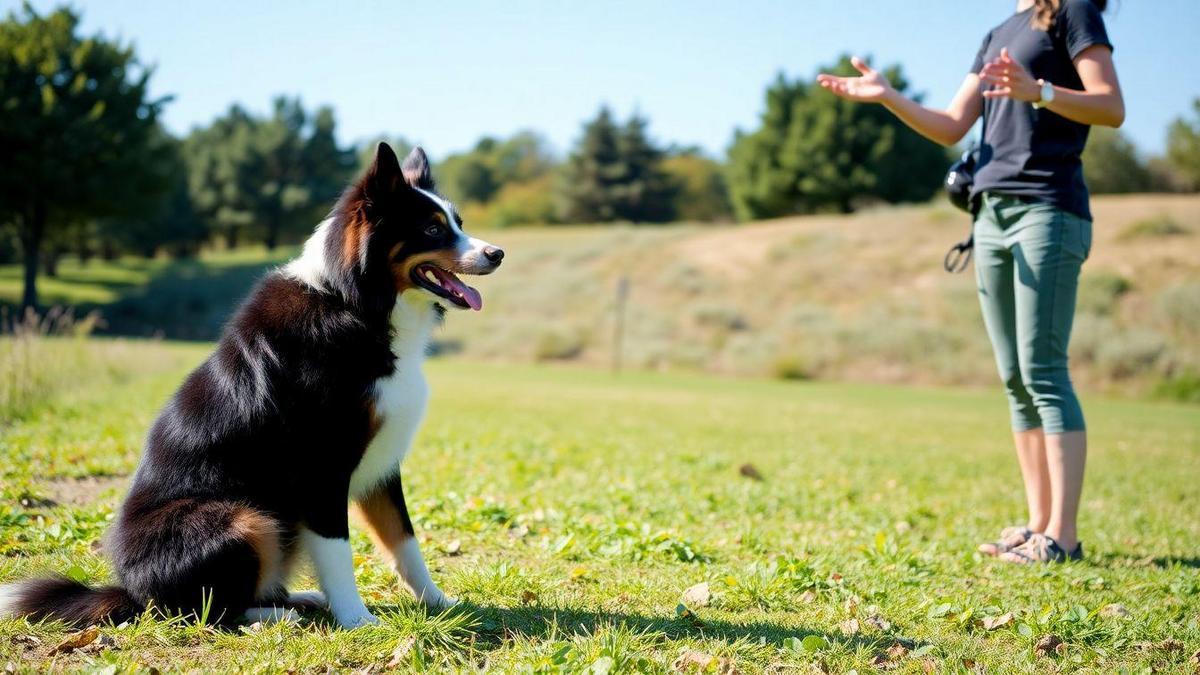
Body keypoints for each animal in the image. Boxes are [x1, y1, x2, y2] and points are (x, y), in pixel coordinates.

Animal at [0, 141, 504, 624]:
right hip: (242, 519)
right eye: (433, 230)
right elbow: (338, 552)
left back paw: (297, 598)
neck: (355, 303)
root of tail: (132, 592)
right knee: (202, 610)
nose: (497, 253)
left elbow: (405, 541)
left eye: (457, 222)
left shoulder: (381, 465)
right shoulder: (323, 467)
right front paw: (358, 620)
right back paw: (277, 614)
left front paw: (441, 605)